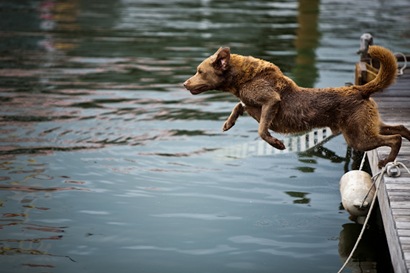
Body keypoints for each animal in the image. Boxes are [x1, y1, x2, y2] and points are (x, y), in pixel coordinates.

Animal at [183, 45, 410, 167]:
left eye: (199, 71)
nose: (184, 84)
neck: (244, 78)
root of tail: (359, 89)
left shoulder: (271, 101)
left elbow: (261, 130)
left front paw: (277, 144)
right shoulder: (250, 104)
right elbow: (239, 106)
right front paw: (228, 124)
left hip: (358, 137)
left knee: (394, 138)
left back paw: (386, 161)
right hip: (368, 126)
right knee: (400, 128)